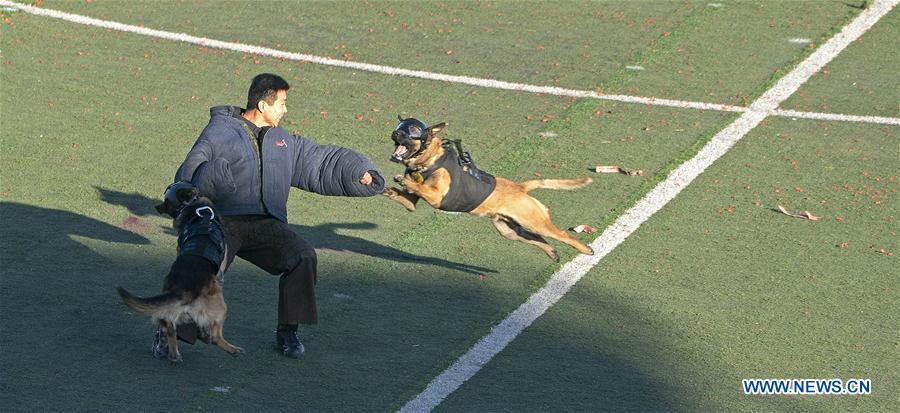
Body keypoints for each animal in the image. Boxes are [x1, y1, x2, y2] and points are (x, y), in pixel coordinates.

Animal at [384, 115, 596, 260]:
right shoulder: (411, 204)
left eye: (412, 130)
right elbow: (402, 195)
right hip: (510, 231)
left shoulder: (436, 197)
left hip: (535, 222)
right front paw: (387, 187)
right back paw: (552, 253)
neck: (429, 161)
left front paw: (404, 180)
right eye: (399, 127)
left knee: (561, 234)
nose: (395, 133)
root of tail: (520, 187)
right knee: (539, 240)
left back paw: (585, 249)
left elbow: (418, 186)